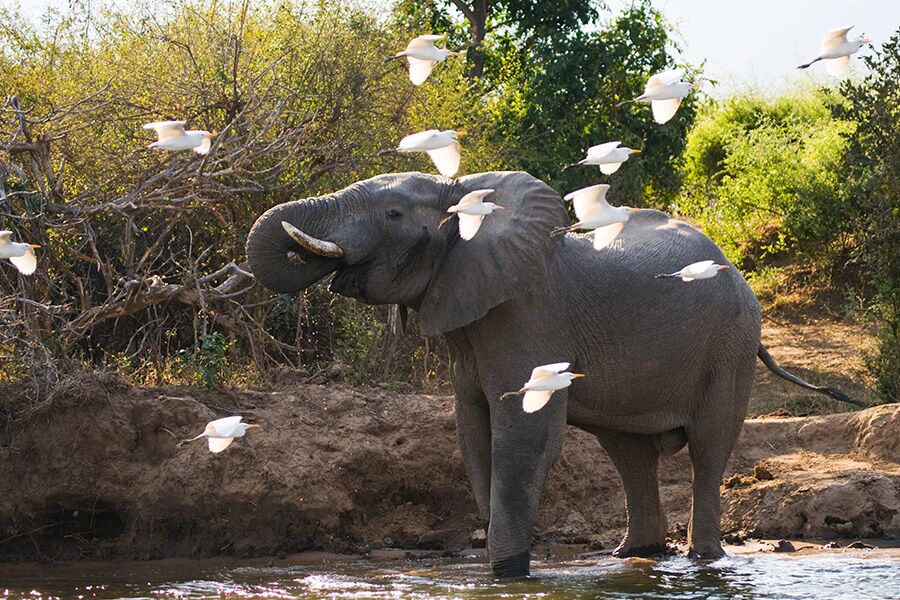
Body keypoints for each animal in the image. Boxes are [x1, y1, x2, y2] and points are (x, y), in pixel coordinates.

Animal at [246, 170, 858, 577]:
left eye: (393, 215)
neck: (463, 190)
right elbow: (474, 435)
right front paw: (500, 566)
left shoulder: (527, 315)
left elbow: (523, 434)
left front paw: (509, 573)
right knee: (628, 452)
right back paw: (634, 555)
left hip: (730, 341)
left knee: (709, 444)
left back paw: (703, 558)